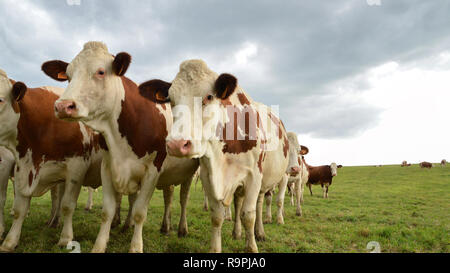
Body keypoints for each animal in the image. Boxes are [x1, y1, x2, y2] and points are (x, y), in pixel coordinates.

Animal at [0, 68, 123, 251]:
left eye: (0, 100)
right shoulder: (22, 167)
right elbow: (19, 208)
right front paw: (9, 241)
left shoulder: (76, 167)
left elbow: (67, 205)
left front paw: (65, 238)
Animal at [43, 41, 200, 252]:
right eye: (67, 76)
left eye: (101, 72)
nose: (62, 106)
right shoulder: (108, 167)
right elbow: (108, 210)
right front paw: (99, 245)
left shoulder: (153, 171)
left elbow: (140, 212)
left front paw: (135, 246)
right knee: (168, 195)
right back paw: (163, 227)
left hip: (190, 171)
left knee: (183, 198)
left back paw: (182, 229)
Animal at [139, 58, 290, 252]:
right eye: (170, 99)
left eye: (209, 96)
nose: (176, 144)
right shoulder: (207, 175)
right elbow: (217, 216)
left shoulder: (254, 176)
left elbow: (249, 215)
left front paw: (251, 247)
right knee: (238, 202)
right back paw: (237, 232)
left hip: (264, 182)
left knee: (258, 204)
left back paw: (259, 233)